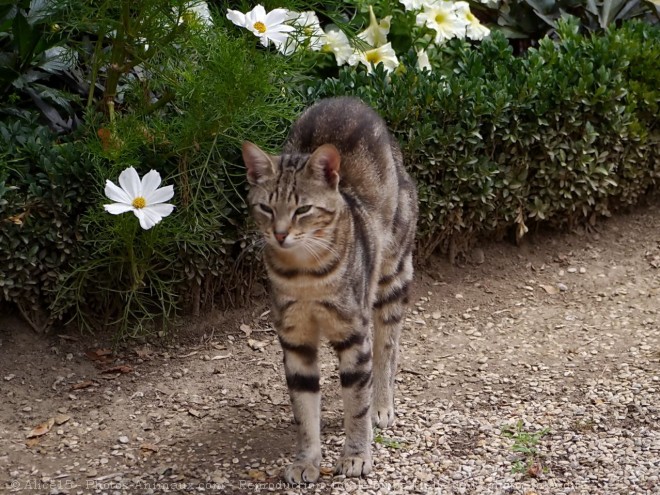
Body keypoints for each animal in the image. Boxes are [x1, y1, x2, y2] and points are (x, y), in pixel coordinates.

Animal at [242, 97, 418, 484]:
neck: (304, 274)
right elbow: (305, 410)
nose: (279, 234)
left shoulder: (353, 333)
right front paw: (306, 461)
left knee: (388, 349)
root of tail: (349, 100)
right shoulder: (295, 340)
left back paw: (382, 405)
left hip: (392, 276)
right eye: (266, 208)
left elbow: (356, 404)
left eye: (303, 209)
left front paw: (356, 456)